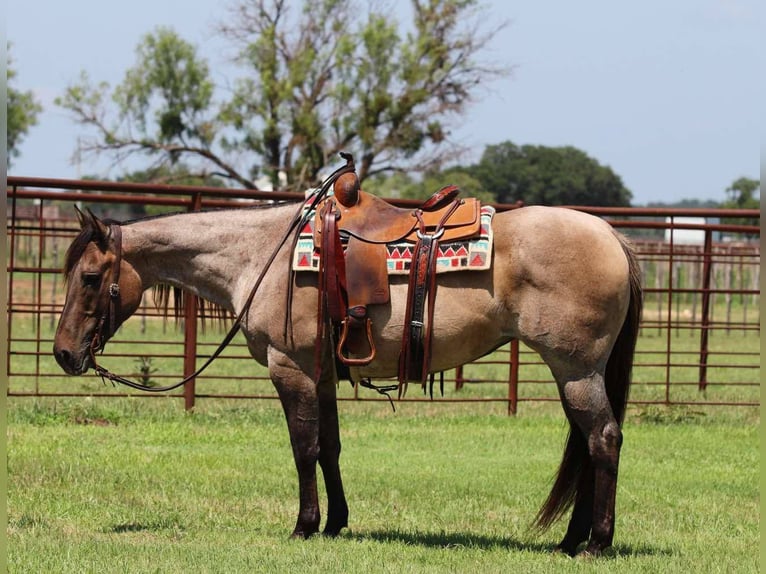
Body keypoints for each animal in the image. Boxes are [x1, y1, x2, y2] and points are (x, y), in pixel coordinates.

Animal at [53, 195, 642, 557]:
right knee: (587, 445)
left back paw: (596, 542)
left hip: (575, 368)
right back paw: (570, 539)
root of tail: (612, 236)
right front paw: (336, 522)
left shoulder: (289, 368)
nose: (61, 354)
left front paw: (304, 524)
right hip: (574, 372)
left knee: (603, 439)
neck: (261, 256)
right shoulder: (320, 374)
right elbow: (330, 447)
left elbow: (304, 448)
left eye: (90, 277)